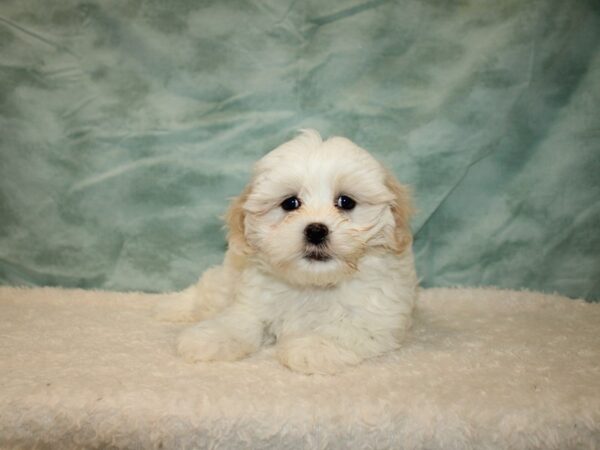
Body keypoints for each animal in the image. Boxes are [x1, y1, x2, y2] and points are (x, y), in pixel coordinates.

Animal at [157, 128, 420, 374]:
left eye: (346, 202)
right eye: (290, 203)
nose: (316, 230)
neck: (313, 283)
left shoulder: (377, 315)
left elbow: (346, 329)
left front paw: (313, 347)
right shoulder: (253, 298)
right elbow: (241, 319)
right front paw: (212, 336)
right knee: (209, 290)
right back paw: (171, 304)